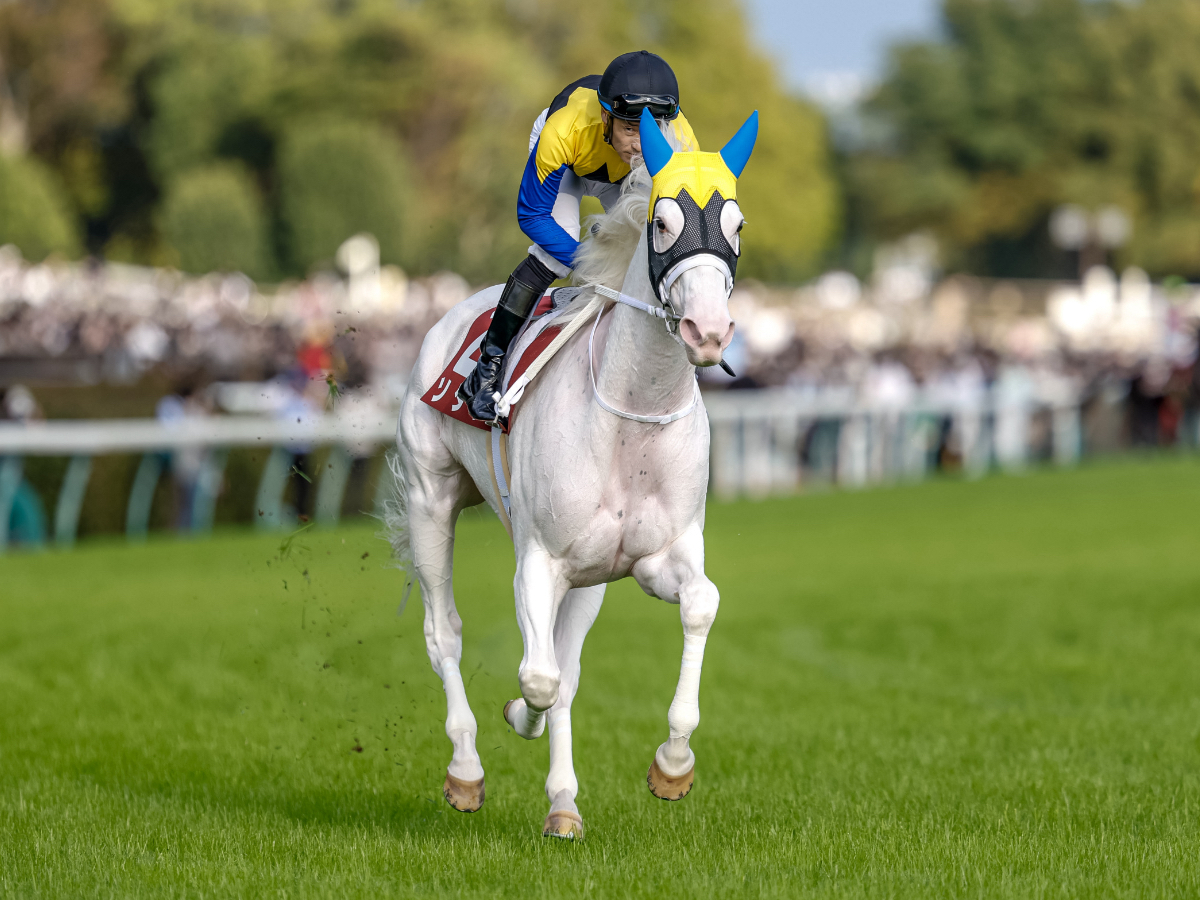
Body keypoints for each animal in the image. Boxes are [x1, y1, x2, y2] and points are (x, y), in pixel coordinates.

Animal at [388, 109, 753, 844]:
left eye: (736, 224)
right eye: (663, 222)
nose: (708, 330)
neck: (634, 414)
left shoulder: (651, 556)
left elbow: (697, 605)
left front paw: (672, 765)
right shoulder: (540, 558)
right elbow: (538, 677)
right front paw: (514, 718)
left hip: (591, 576)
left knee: (566, 659)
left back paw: (562, 804)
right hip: (430, 495)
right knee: (446, 632)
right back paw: (466, 771)